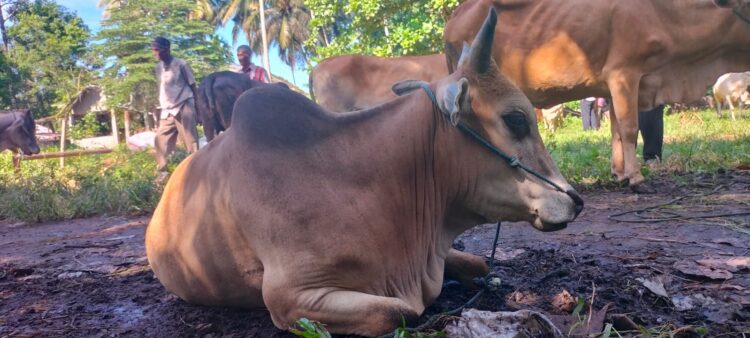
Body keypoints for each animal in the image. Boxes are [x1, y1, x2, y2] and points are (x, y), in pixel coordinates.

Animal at [444, 0, 750, 191]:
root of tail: (457, 14)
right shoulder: (624, 74)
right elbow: (629, 128)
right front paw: (636, 178)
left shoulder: (611, 87)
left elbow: (616, 130)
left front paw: (619, 174)